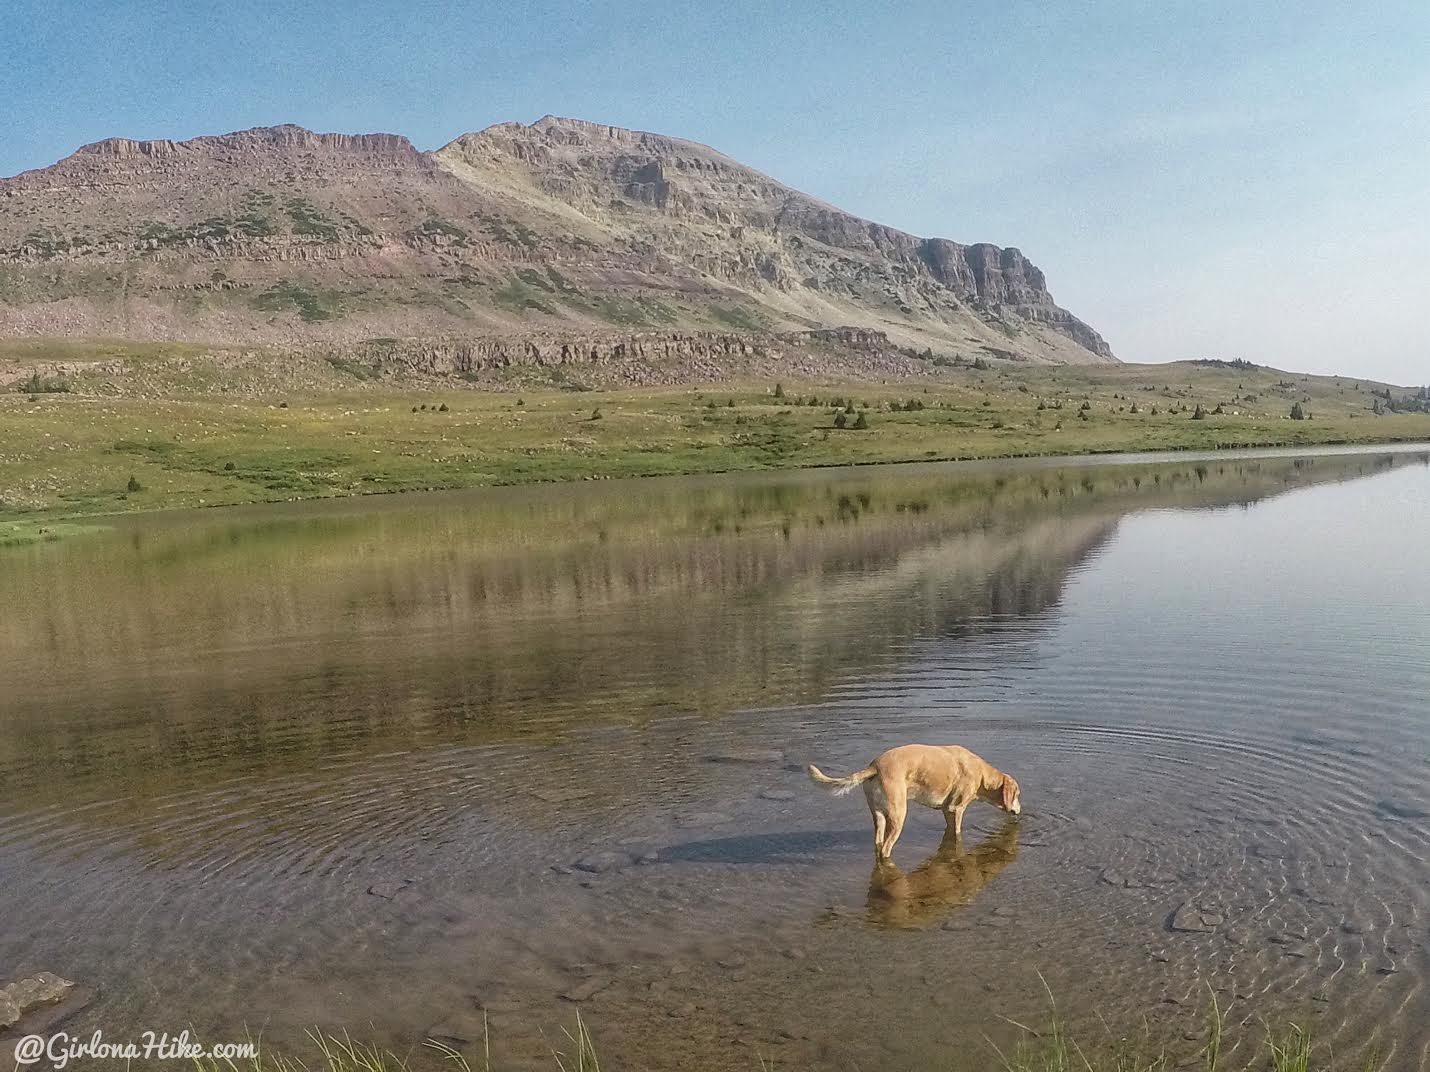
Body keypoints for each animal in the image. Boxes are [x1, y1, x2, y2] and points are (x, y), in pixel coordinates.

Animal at [812, 748, 1023, 863]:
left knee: (878, 842)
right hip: (898, 815)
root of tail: (875, 767)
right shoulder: (957, 808)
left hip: (878, 815)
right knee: (886, 848)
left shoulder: (947, 810)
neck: (981, 775)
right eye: (1018, 795)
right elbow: (957, 832)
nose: (1020, 811)